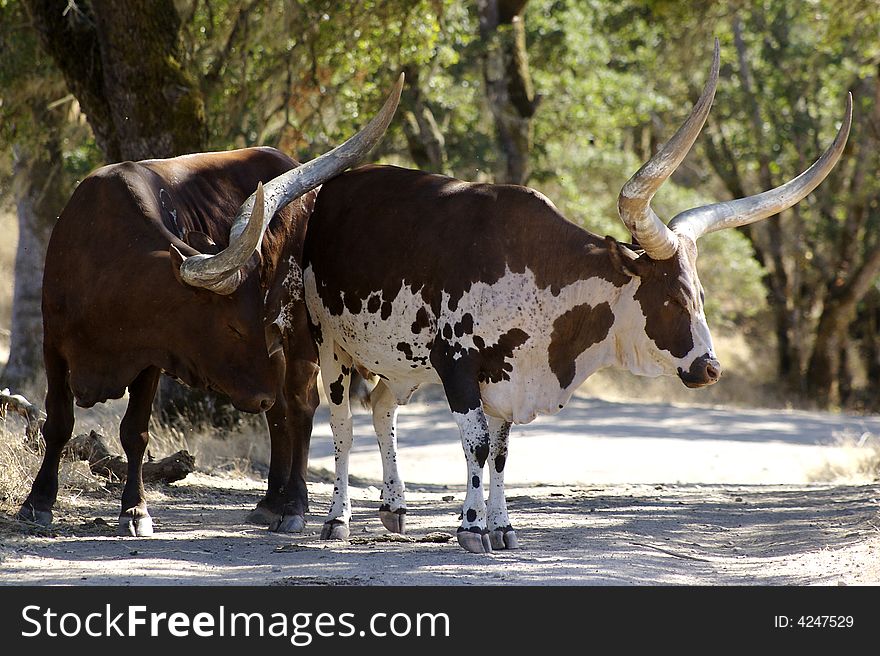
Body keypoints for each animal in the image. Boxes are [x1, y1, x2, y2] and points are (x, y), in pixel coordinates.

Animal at [17, 78, 404, 540]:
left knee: (298, 406)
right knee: (279, 413)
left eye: (255, 323)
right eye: (234, 327)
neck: (104, 266)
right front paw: (37, 503)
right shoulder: (53, 345)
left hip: (300, 333)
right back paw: (270, 503)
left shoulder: (150, 358)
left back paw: (294, 505)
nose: (257, 395)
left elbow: (135, 432)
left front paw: (135, 510)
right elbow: (58, 422)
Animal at [300, 43, 848, 552]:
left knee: (382, 409)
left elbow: (500, 451)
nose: (711, 368)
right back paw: (337, 518)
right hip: (330, 343)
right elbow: (476, 444)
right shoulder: (457, 365)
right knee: (343, 424)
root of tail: (333, 188)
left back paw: (394, 507)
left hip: (400, 361)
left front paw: (502, 527)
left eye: (700, 294)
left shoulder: (507, 378)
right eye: (672, 299)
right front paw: (472, 528)